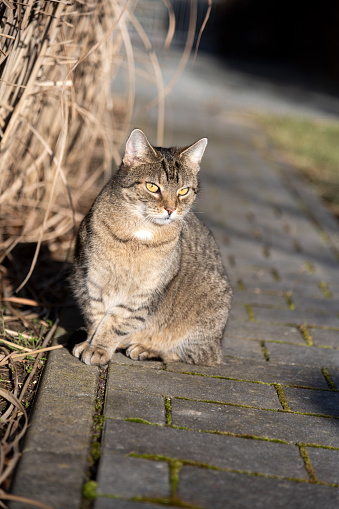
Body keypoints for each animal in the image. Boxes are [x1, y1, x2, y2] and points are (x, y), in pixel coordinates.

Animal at [71, 127, 231, 366]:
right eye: (152, 187)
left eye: (183, 191)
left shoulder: (145, 293)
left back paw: (145, 348)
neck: (139, 233)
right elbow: (96, 316)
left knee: (191, 355)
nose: (171, 209)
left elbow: (116, 322)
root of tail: (219, 346)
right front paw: (89, 342)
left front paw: (99, 348)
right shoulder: (91, 278)